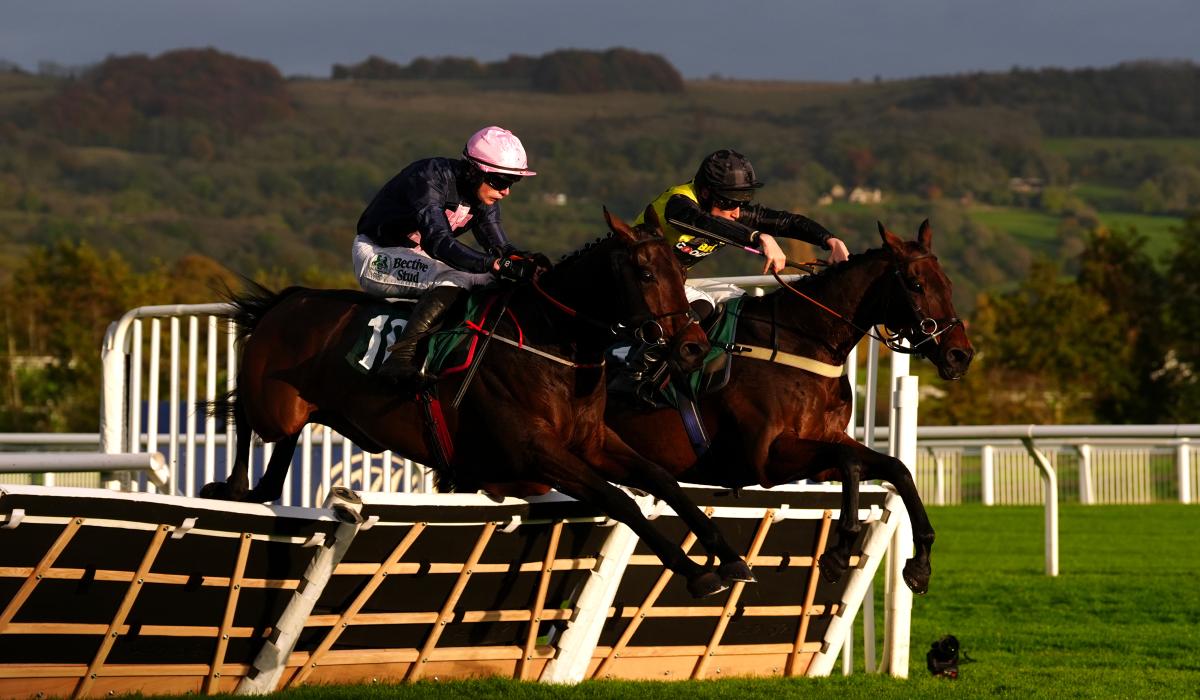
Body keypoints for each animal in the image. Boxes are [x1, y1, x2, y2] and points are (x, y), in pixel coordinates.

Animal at [203, 209, 756, 597]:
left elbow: (663, 480)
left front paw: (729, 558)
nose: (691, 348)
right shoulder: (535, 452)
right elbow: (619, 500)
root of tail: (287, 299)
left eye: (679, 269)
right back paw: (229, 486)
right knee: (246, 419)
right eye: (643, 272)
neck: (551, 343)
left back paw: (248, 490)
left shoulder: (594, 442)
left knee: (274, 463)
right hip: (275, 406)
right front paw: (696, 573)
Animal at [605, 221, 975, 595]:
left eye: (948, 284)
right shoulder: (767, 459)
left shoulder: (824, 444)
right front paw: (839, 550)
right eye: (916, 285)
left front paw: (920, 562)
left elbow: (896, 468)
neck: (799, 342)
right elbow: (851, 462)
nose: (960, 355)